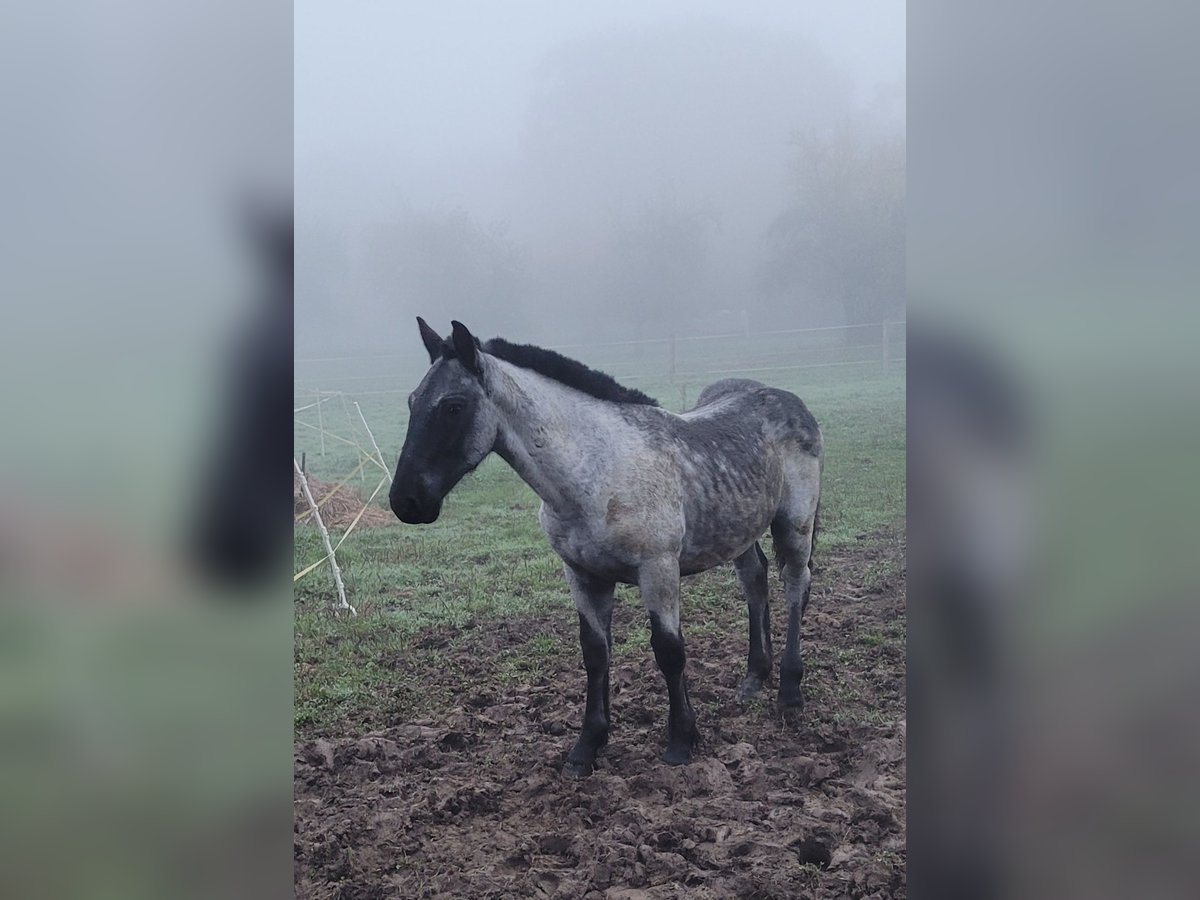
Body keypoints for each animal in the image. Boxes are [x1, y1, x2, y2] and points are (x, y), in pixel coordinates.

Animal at [388, 321, 820, 777]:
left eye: (453, 407)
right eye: (413, 401)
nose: (406, 502)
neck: (596, 473)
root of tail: (786, 399)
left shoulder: (658, 568)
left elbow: (669, 651)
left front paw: (681, 740)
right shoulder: (582, 574)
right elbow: (595, 653)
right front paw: (587, 747)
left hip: (795, 523)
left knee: (796, 586)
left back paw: (790, 692)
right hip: (740, 530)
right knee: (756, 581)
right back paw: (754, 678)